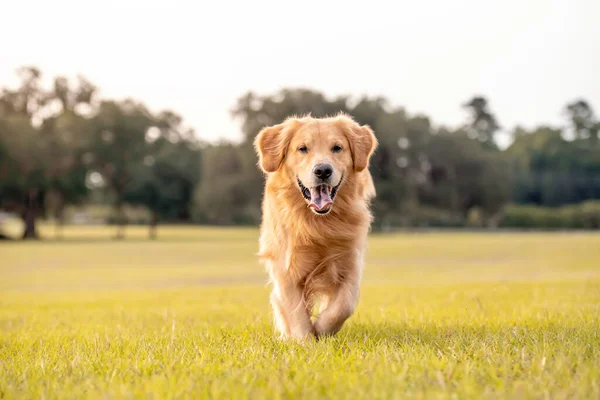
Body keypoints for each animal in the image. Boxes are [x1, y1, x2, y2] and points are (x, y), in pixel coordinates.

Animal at [254, 112, 378, 340]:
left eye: (337, 148)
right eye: (302, 148)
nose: (322, 170)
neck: (318, 223)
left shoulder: (350, 261)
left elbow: (344, 305)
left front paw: (322, 329)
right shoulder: (286, 268)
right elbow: (296, 314)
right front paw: (305, 342)